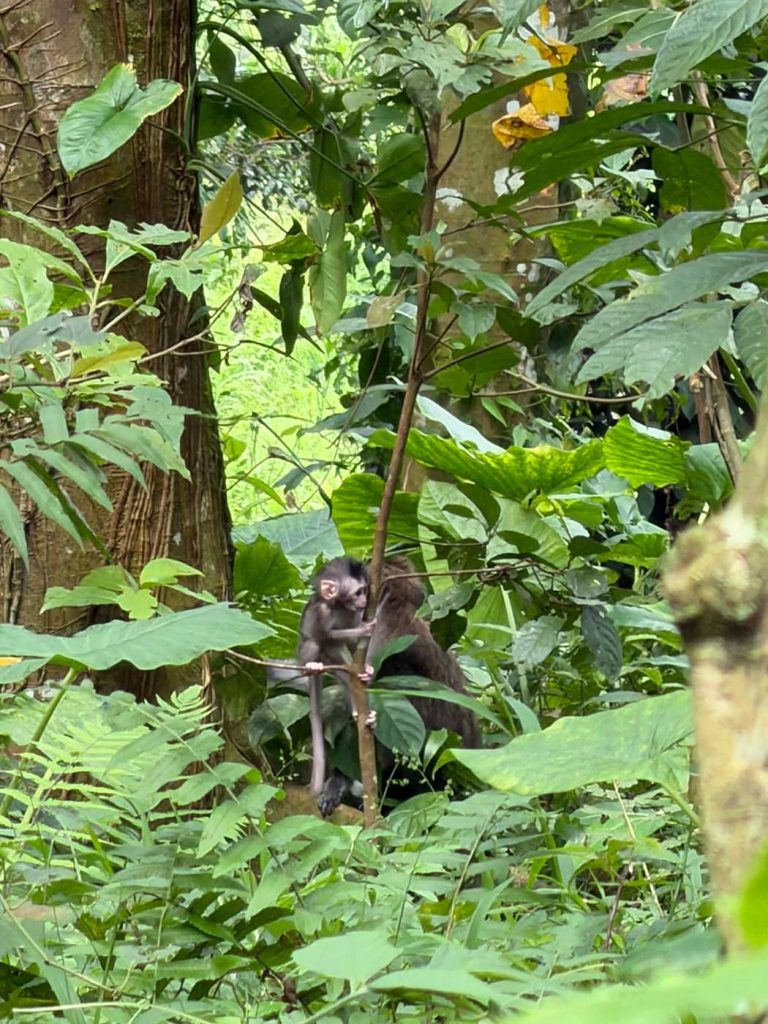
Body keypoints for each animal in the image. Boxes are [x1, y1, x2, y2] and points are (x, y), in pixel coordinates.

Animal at [296, 557, 376, 796]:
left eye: (365, 590)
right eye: (357, 592)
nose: (364, 600)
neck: (339, 606)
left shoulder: (355, 613)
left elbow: (352, 643)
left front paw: (368, 668)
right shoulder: (322, 610)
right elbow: (328, 635)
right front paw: (363, 630)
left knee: (348, 678)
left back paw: (363, 712)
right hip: (318, 654)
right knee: (318, 642)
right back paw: (310, 666)